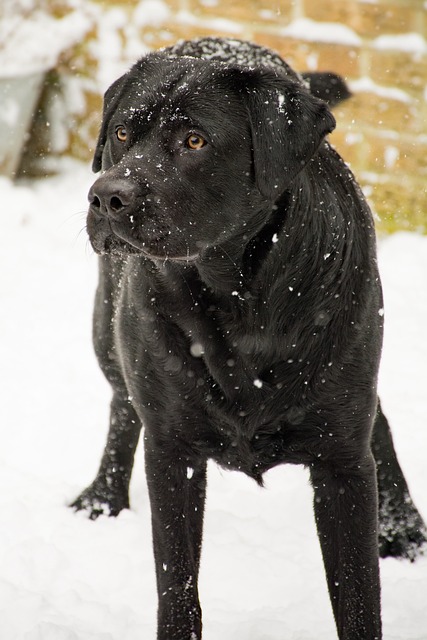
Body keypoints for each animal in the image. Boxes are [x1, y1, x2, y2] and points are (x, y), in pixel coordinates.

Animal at [72, 38, 424, 640]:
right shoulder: (172, 452)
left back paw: (402, 526)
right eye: (120, 133)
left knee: (378, 420)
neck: (242, 302)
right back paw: (103, 497)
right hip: (107, 330)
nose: (107, 197)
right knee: (122, 403)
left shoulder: (341, 467)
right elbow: (177, 587)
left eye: (194, 141)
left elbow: (359, 598)